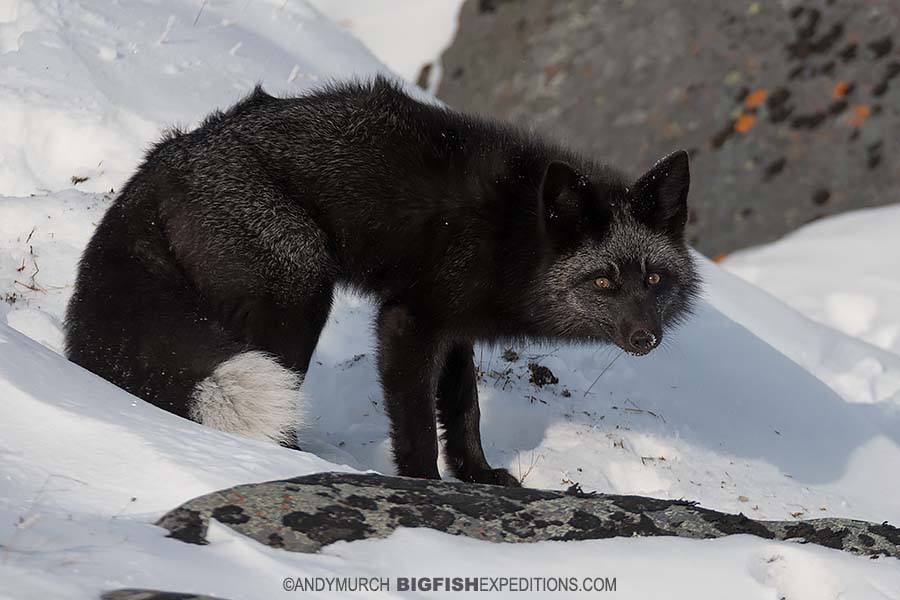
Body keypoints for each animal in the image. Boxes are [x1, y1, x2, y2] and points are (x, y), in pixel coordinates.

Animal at [65, 76, 700, 487]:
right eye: (603, 282)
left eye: (653, 278)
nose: (646, 338)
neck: (514, 234)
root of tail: (164, 157)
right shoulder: (406, 321)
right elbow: (416, 422)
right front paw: (427, 488)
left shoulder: (452, 324)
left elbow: (463, 410)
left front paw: (479, 475)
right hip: (300, 288)